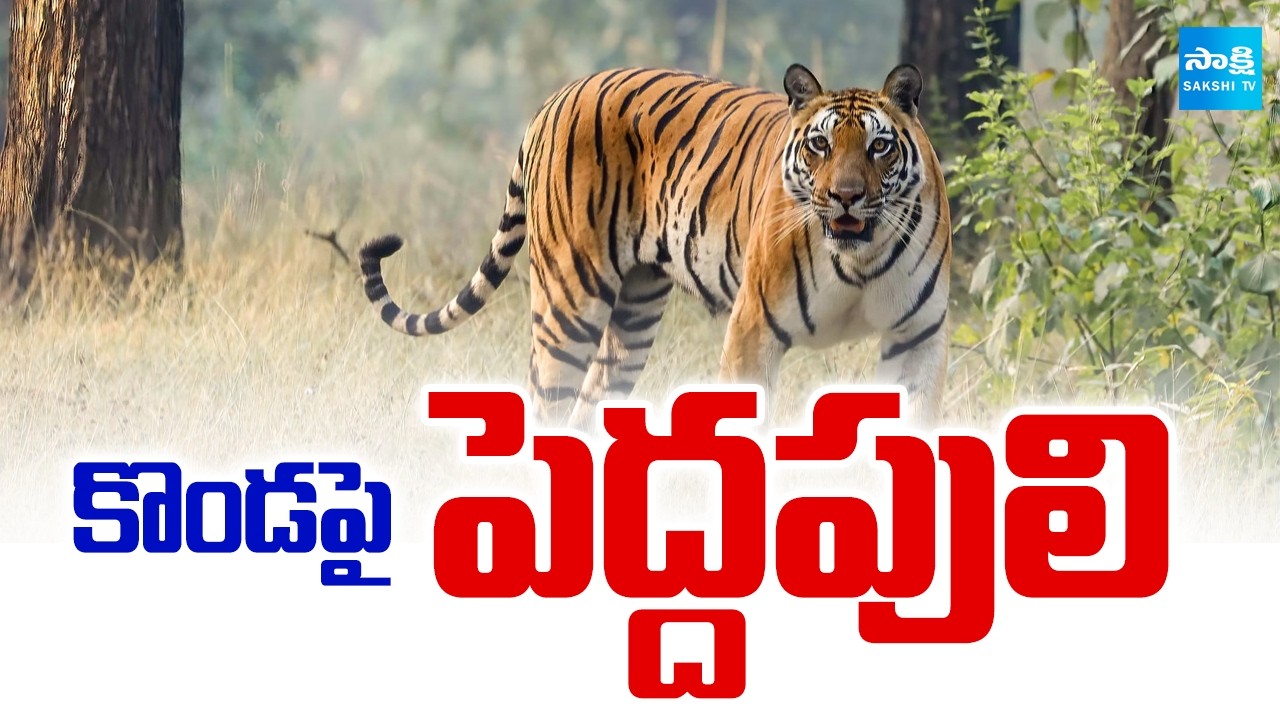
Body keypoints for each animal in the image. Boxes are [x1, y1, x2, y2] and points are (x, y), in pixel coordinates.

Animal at [360, 63, 951, 428]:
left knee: (589, 405)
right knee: (547, 404)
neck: (859, 259)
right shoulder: (753, 329)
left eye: (878, 147)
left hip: (635, 312)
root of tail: (557, 96)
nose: (846, 197)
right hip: (569, 301)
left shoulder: (917, 338)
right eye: (820, 145)